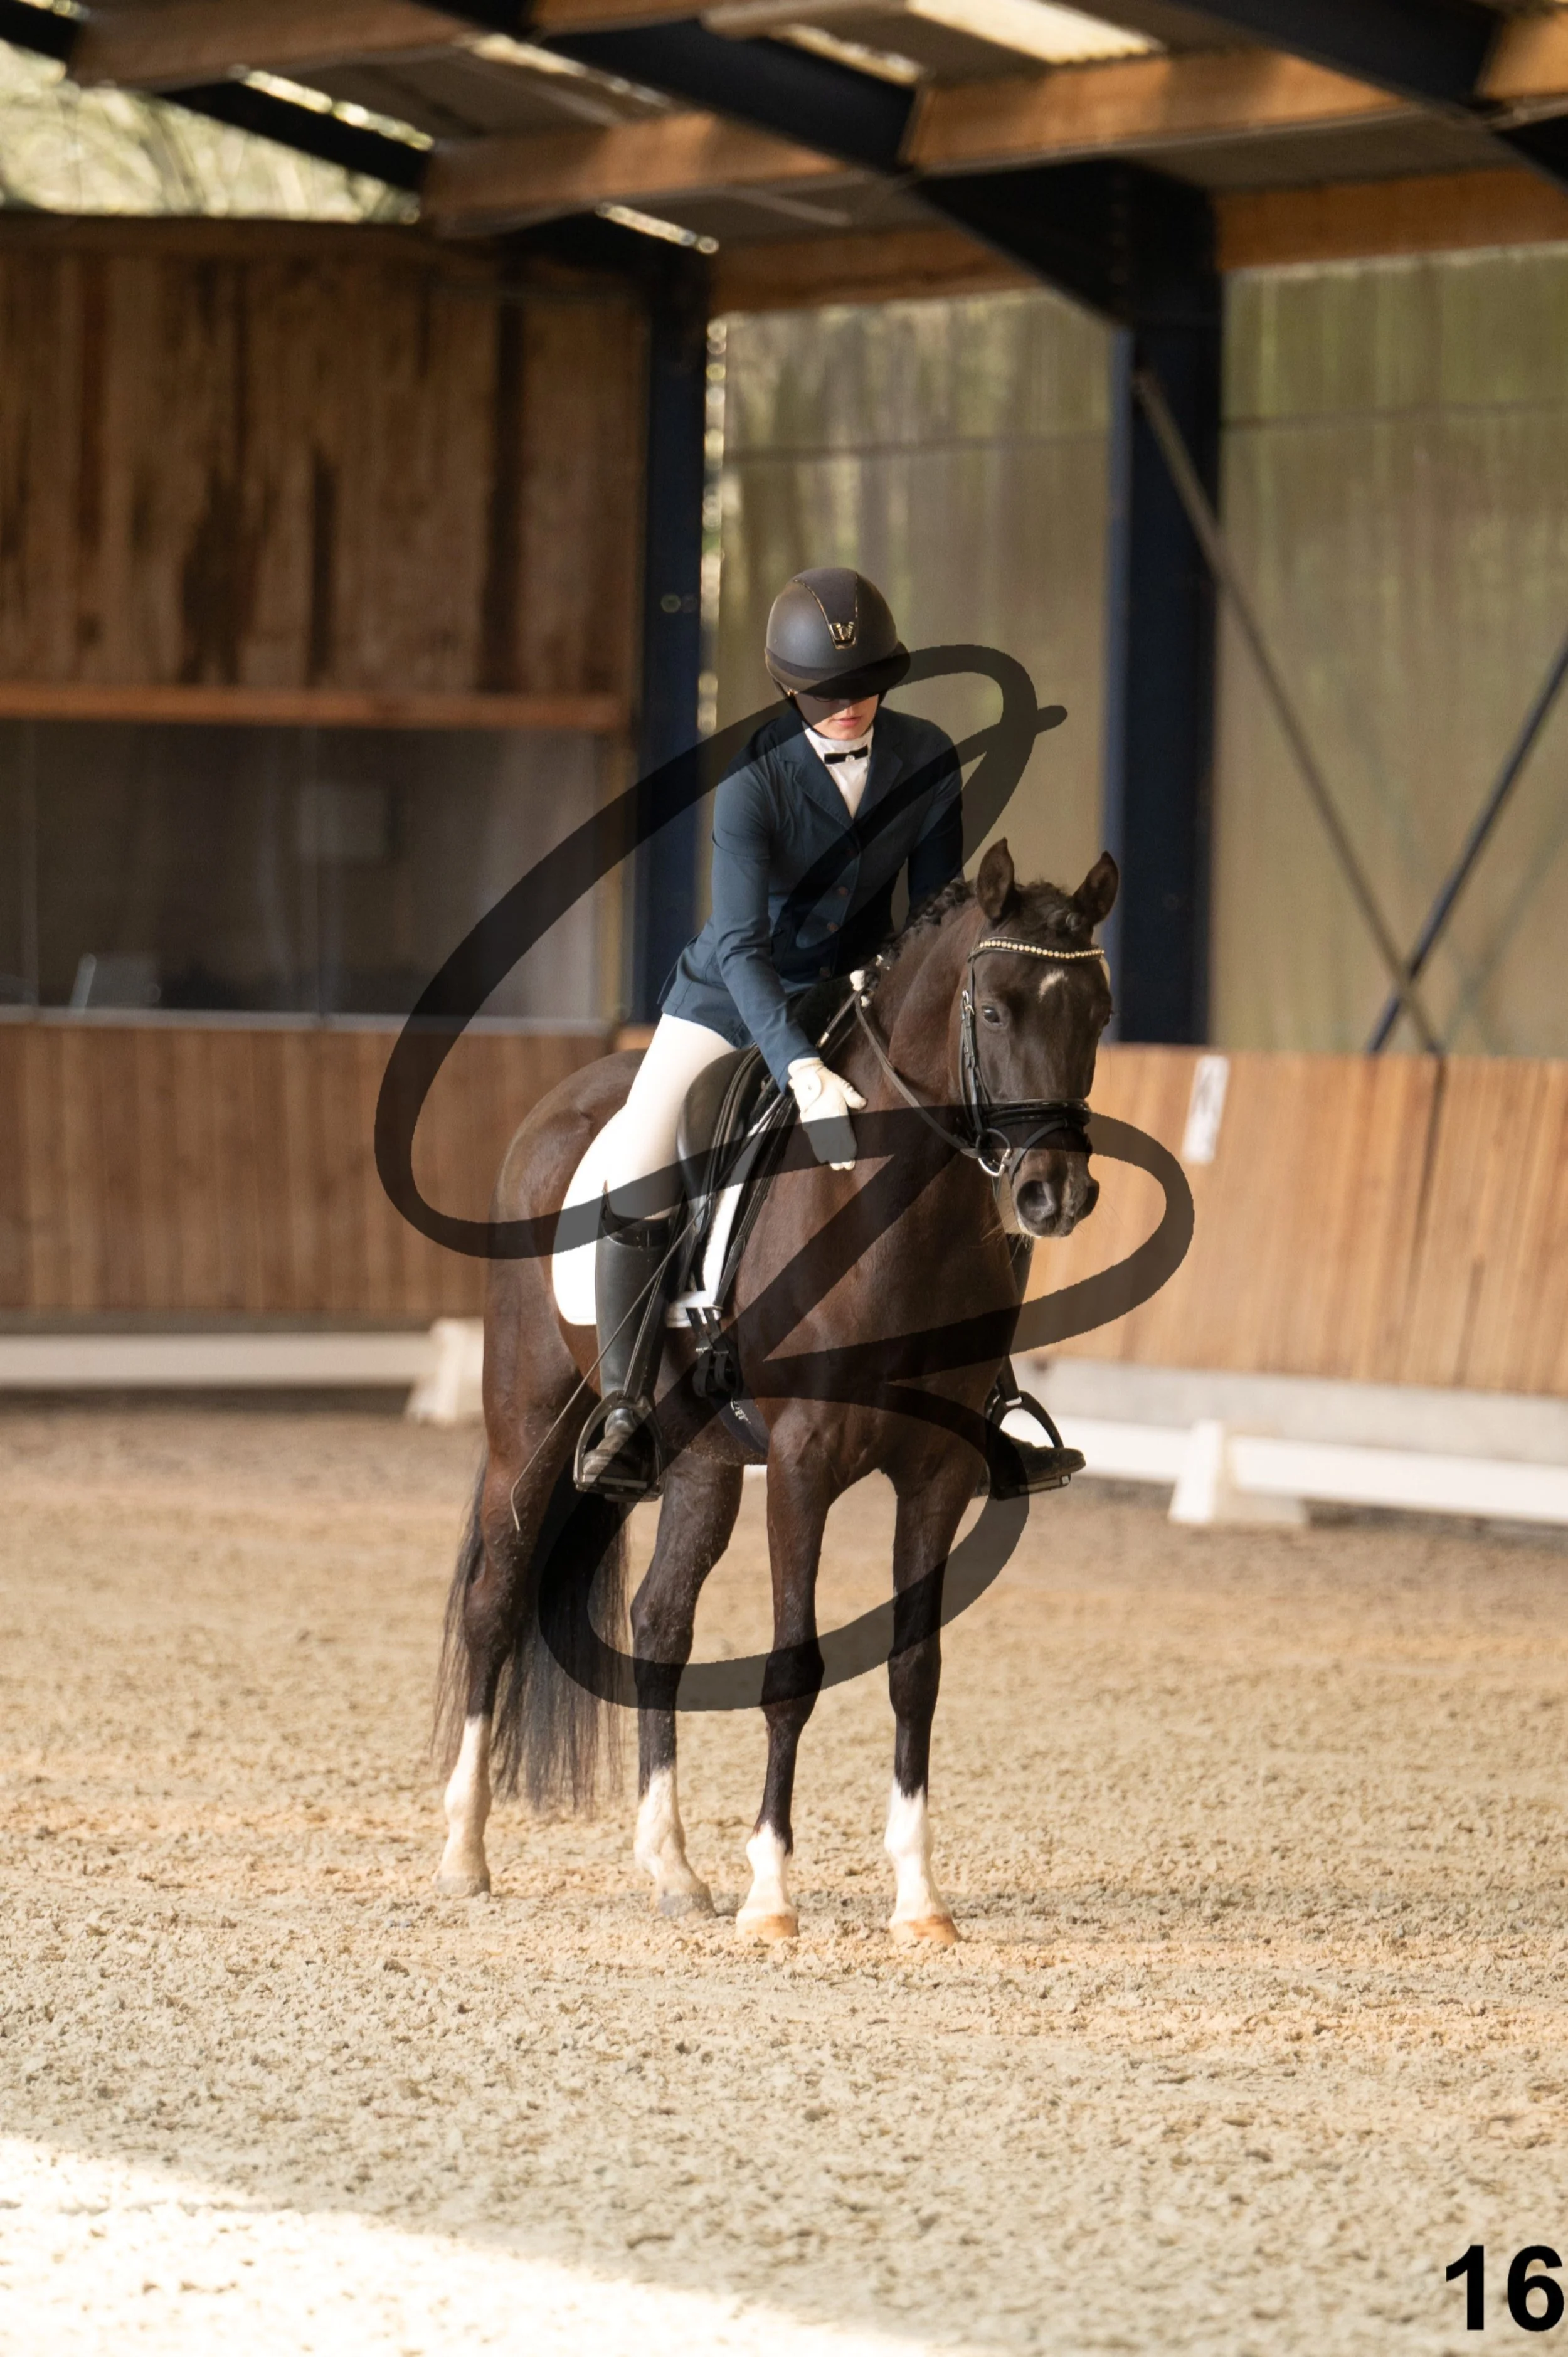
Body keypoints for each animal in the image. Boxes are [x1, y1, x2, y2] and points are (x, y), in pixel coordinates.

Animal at [433, 837, 1117, 1944]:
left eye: (1096, 1011)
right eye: (996, 1008)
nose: (1053, 1194)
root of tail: (558, 1109)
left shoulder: (937, 1473)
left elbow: (916, 1673)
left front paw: (919, 1896)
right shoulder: (804, 1463)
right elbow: (793, 1668)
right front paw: (771, 1893)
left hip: (703, 1462)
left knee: (661, 1621)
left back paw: (672, 1866)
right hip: (525, 1426)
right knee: (494, 1602)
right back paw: (464, 1850)